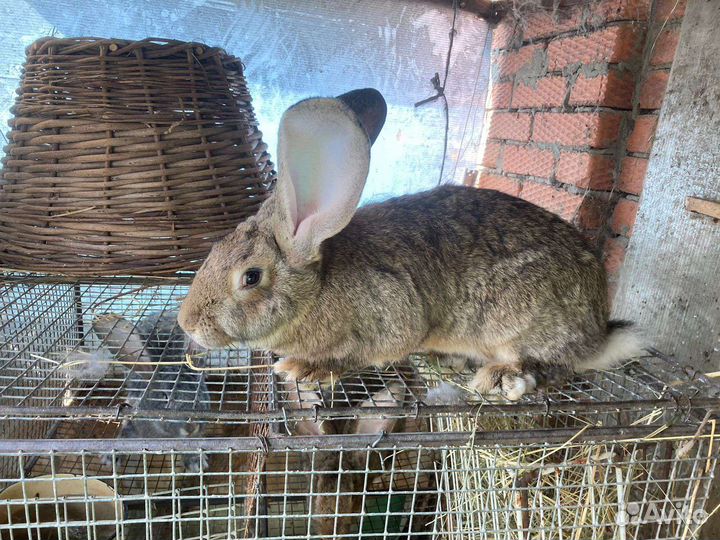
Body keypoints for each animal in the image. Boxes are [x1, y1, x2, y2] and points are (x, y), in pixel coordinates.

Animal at [92, 311, 210, 473]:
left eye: (199, 393)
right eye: (164, 396)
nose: (191, 427)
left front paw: (197, 463)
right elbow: (123, 439)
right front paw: (109, 460)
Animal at [177, 87, 644, 401]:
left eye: (251, 277)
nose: (186, 323)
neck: (317, 290)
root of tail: (599, 331)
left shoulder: (392, 316)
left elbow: (364, 353)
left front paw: (303, 368)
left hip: (521, 323)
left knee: (557, 365)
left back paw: (502, 379)